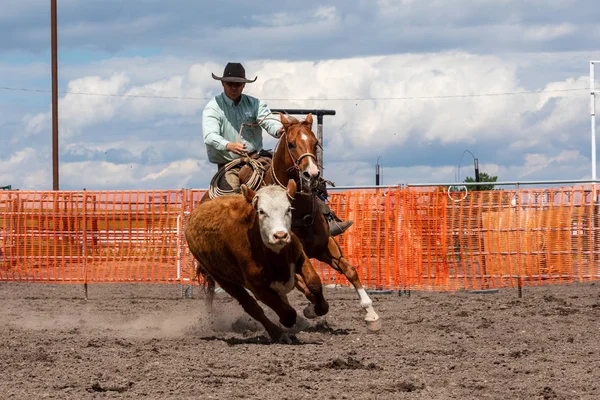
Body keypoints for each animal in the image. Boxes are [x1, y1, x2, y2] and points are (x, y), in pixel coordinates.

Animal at [186, 182, 330, 344]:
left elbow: (314, 283)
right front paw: (285, 323)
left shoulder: (299, 256)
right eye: (261, 211)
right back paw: (277, 333)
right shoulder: (256, 285)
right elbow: (287, 312)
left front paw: (317, 308)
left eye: (288, 209)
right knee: (252, 307)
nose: (280, 235)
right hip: (222, 279)